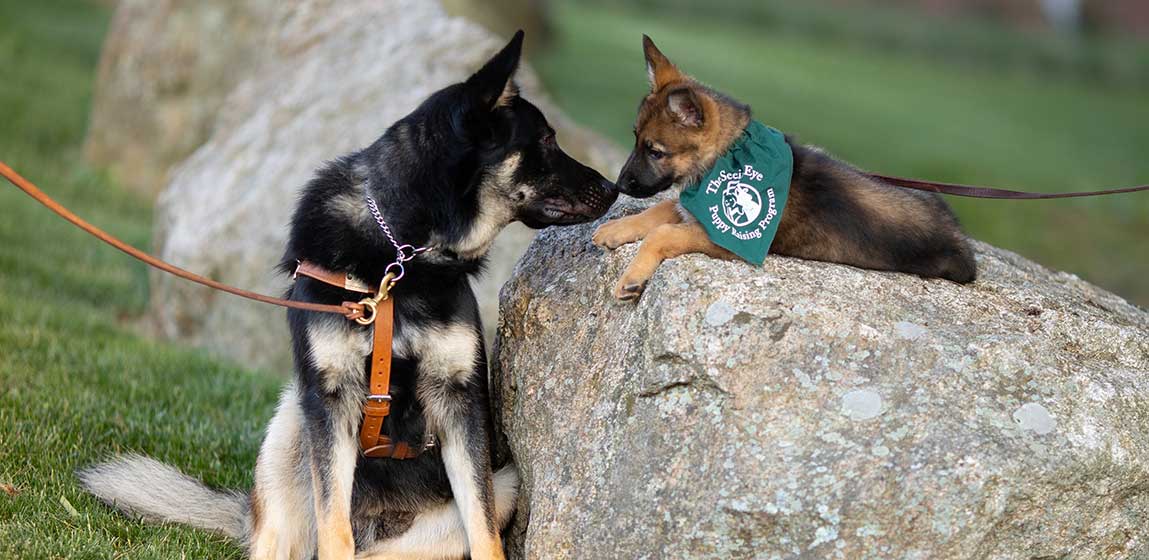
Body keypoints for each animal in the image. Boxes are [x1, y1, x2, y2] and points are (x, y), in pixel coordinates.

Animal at [78, 32, 620, 558]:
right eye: (546, 140)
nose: (616, 188)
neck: (400, 256)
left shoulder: (461, 404)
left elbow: (484, 533)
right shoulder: (331, 400)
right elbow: (332, 524)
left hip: (497, 483)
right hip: (290, 425)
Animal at [592, 35, 978, 303]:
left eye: (655, 151)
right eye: (635, 139)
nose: (619, 185)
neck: (727, 155)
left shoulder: (726, 238)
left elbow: (662, 233)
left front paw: (632, 278)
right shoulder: (692, 205)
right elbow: (657, 211)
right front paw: (615, 228)